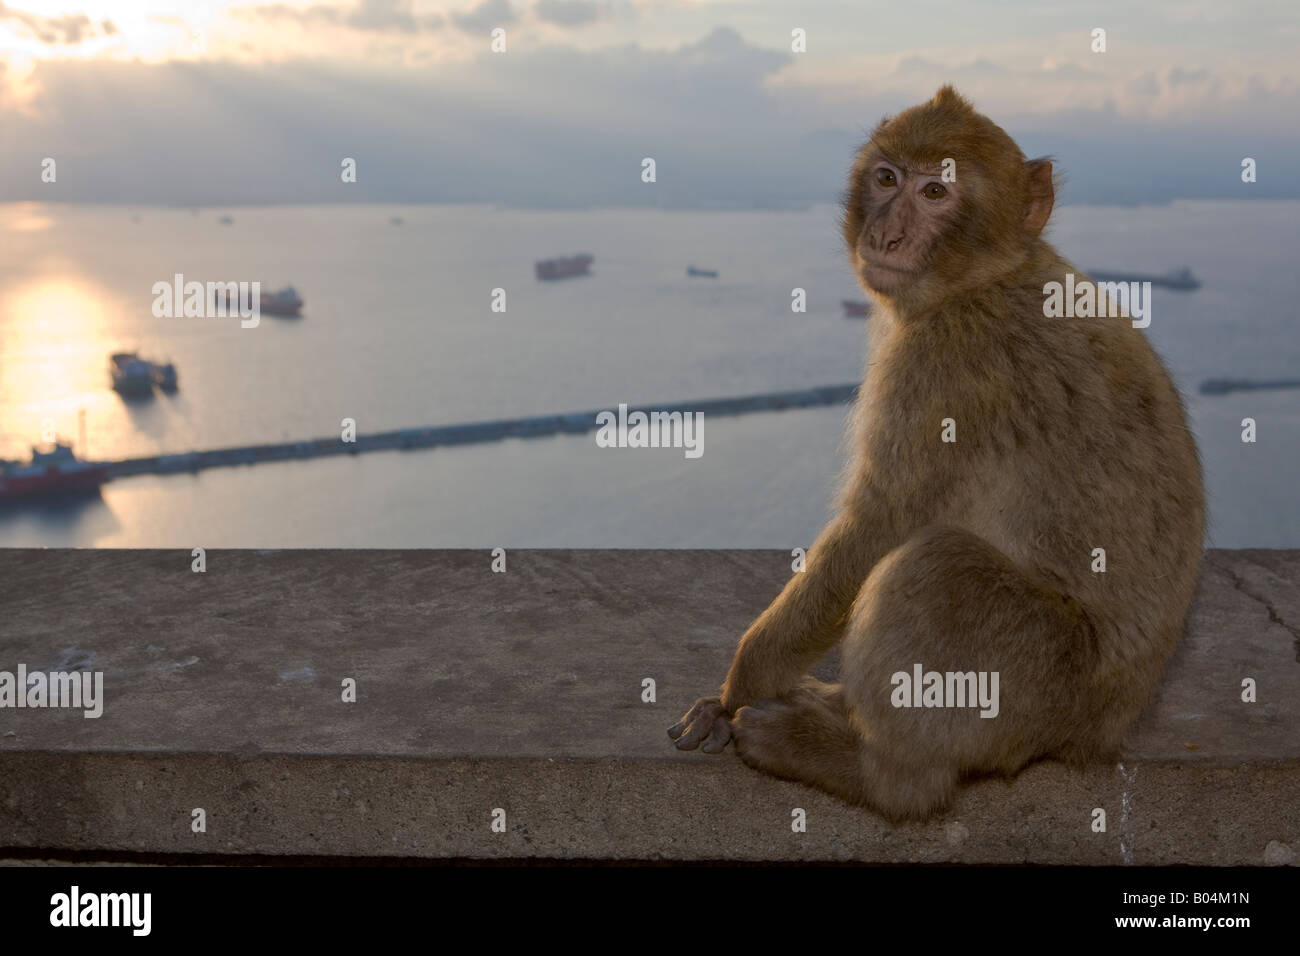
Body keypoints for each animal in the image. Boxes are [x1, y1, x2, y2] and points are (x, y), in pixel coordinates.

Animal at [670, 85, 1206, 822]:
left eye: (935, 193)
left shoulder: (943, 366)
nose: (885, 236)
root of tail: (1102, 730)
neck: (984, 279)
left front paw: (736, 689)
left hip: (1037, 681)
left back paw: (869, 772)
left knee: (936, 566)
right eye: (886, 178)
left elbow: (878, 528)